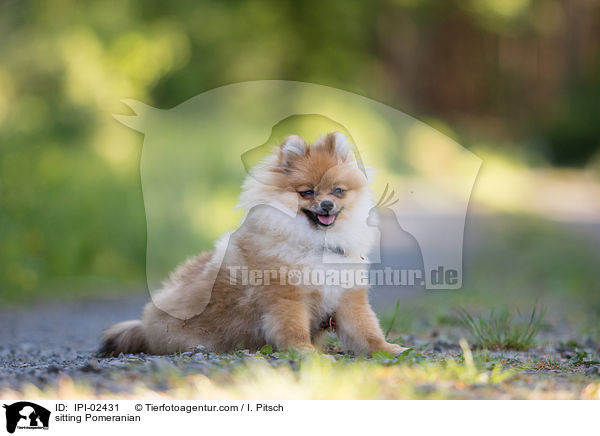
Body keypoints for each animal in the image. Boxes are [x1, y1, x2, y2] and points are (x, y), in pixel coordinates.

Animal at [99, 133, 408, 358]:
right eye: (307, 192)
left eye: (338, 191)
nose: (327, 205)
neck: (317, 244)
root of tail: (145, 323)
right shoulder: (286, 299)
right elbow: (294, 330)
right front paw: (306, 352)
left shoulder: (348, 299)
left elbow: (368, 331)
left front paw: (390, 349)